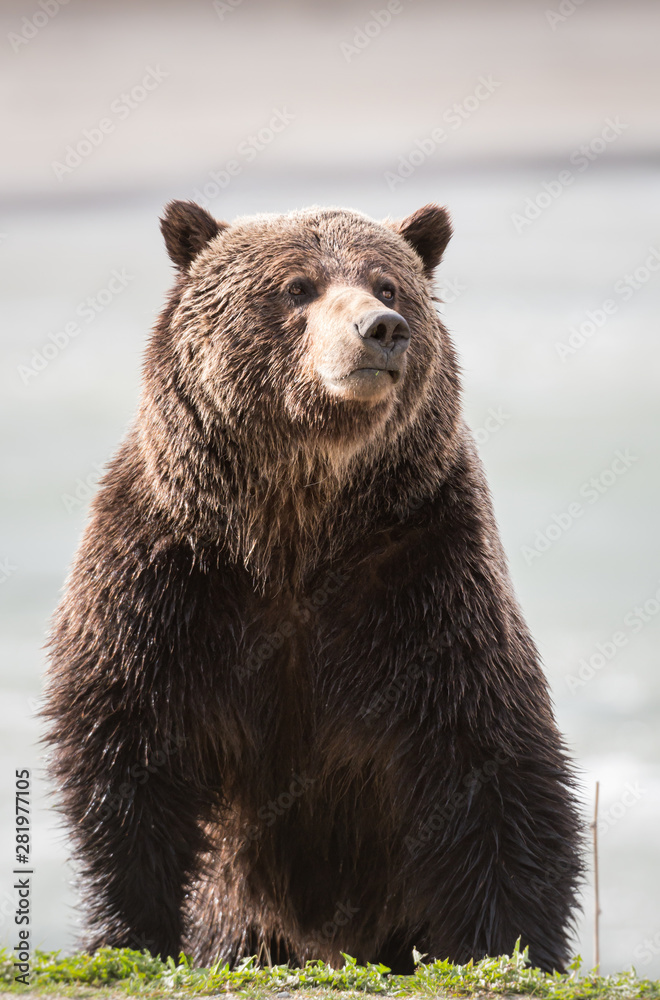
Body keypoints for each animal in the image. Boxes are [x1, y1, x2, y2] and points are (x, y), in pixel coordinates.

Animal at [43, 199, 582, 975]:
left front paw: (511, 943)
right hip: (238, 908)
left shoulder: (421, 575)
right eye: (297, 286)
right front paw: (128, 932)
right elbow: (126, 740)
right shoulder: (169, 575)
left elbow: (487, 754)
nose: (381, 328)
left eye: (388, 284)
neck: (297, 534)